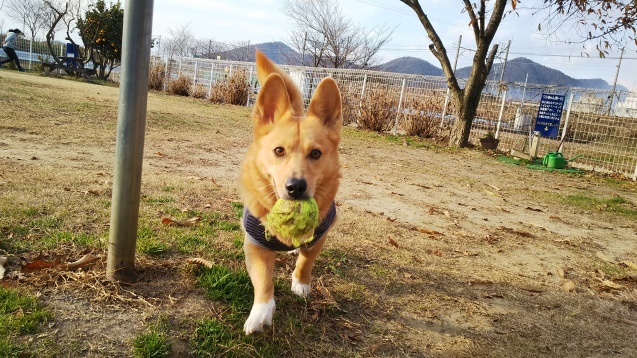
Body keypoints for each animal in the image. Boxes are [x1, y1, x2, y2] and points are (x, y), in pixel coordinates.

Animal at [237, 51, 338, 334]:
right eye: (278, 151)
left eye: (316, 153)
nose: (295, 187)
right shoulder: (255, 245)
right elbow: (263, 280)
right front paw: (261, 312)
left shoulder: (321, 235)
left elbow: (306, 261)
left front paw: (301, 284)